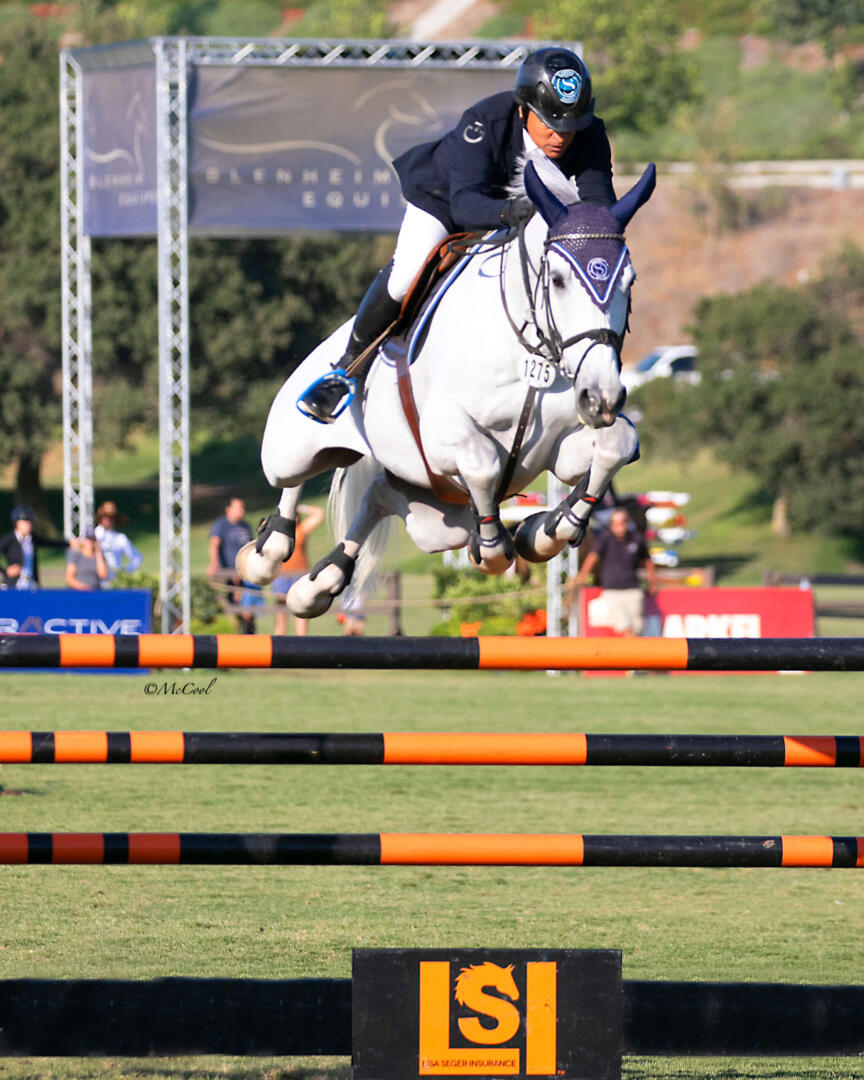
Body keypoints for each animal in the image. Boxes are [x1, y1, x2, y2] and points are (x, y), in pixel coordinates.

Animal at [236, 157, 656, 617]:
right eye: (559, 279)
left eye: (630, 281)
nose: (601, 398)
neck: (532, 350)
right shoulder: (445, 433)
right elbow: (482, 462)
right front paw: (493, 547)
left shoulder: (560, 448)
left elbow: (617, 444)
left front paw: (546, 530)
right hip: (291, 449)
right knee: (291, 480)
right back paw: (267, 551)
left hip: (433, 516)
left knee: (381, 495)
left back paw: (318, 583)